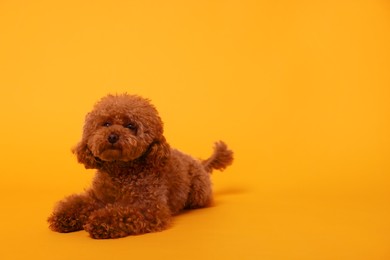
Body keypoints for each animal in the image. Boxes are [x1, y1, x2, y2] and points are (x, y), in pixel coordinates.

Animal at [47, 94, 233, 239]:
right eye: (106, 124)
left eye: (130, 126)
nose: (112, 136)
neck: (120, 172)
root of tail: (200, 163)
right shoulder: (97, 197)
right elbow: (79, 203)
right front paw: (64, 216)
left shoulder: (149, 207)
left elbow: (123, 213)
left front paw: (101, 221)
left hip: (198, 193)